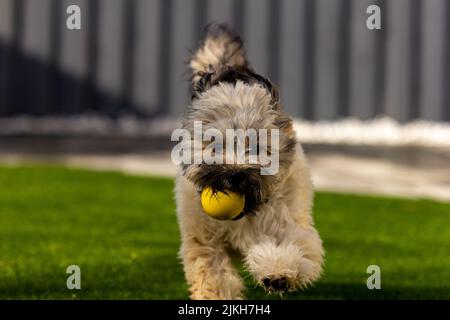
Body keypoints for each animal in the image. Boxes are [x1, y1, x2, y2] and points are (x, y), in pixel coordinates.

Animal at [173, 23, 324, 300]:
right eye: (215, 144)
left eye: (256, 147)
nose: (235, 174)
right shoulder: (203, 239)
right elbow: (212, 271)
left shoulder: (290, 223)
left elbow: (292, 245)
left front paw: (278, 273)